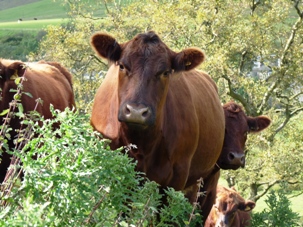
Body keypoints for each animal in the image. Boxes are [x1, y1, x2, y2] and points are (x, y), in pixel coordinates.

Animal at [89, 31, 226, 219]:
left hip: (207, 182)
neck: (142, 144)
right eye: (122, 66)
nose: (136, 111)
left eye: (165, 72)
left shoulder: (174, 182)